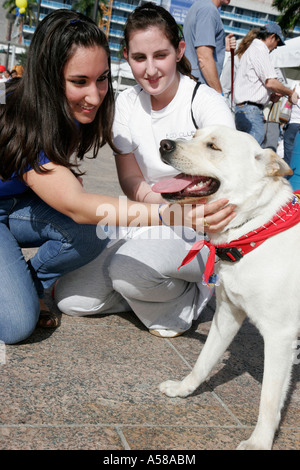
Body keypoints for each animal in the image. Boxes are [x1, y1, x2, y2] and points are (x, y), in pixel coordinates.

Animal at [154, 126, 298, 450]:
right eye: (194, 134)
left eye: (213, 147)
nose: (164, 144)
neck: (256, 230)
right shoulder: (227, 314)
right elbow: (203, 361)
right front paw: (184, 389)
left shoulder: (280, 336)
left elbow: (269, 398)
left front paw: (259, 442)